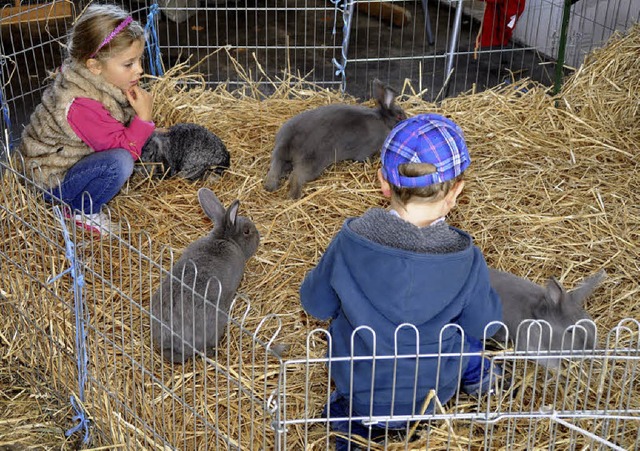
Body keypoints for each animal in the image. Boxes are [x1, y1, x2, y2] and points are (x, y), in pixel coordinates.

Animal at [264, 78, 404, 199]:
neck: (383, 120)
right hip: (312, 162)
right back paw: (295, 196)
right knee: (295, 176)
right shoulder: (366, 152)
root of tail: (288, 141)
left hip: (279, 157)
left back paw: (270, 187)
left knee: (275, 170)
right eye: (399, 117)